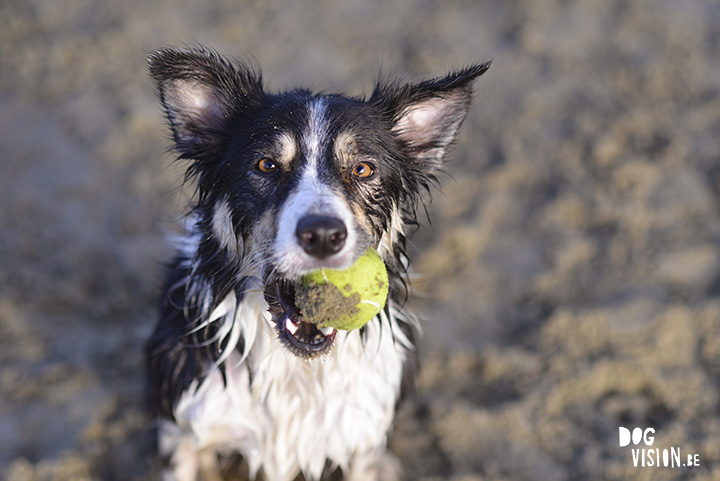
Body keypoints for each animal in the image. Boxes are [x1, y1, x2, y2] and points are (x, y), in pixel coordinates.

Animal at [146, 46, 490, 480]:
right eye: (266, 165)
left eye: (363, 168)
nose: (324, 234)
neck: (296, 371)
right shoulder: (184, 433)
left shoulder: (362, 443)